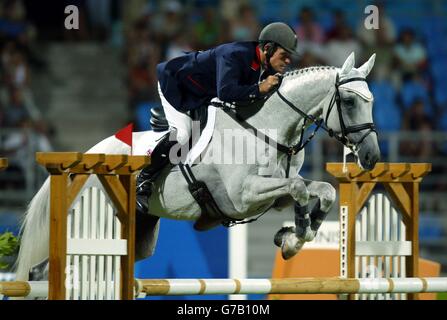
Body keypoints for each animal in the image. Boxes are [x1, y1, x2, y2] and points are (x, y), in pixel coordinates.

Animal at [14, 52, 382, 282]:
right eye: (348, 101)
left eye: (371, 101)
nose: (371, 157)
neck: (269, 127)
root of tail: (89, 156)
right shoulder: (244, 196)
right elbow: (299, 188)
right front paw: (295, 236)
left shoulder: (273, 195)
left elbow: (322, 190)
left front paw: (294, 237)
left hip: (140, 234)